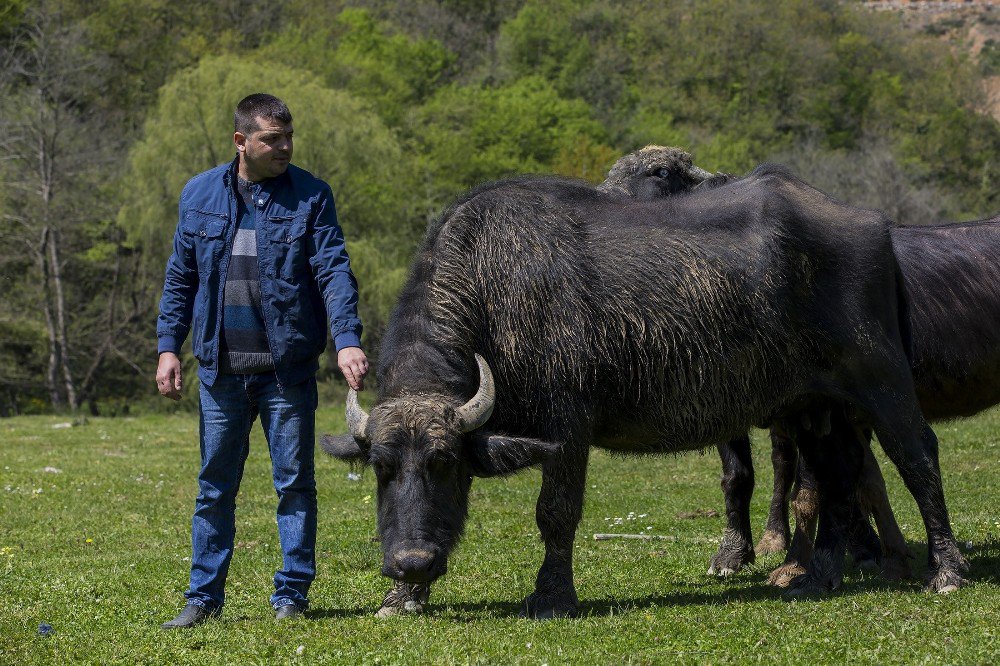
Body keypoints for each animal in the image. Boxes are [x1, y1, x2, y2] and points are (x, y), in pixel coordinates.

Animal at [322, 152, 976, 616]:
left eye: (444, 463)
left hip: (882, 381)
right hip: (817, 405)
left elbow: (555, 512)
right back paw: (816, 576)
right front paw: (403, 599)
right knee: (835, 476)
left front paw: (552, 596)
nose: (409, 564)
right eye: (381, 468)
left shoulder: (569, 424)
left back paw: (946, 571)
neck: (496, 289)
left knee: (918, 456)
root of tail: (875, 226)